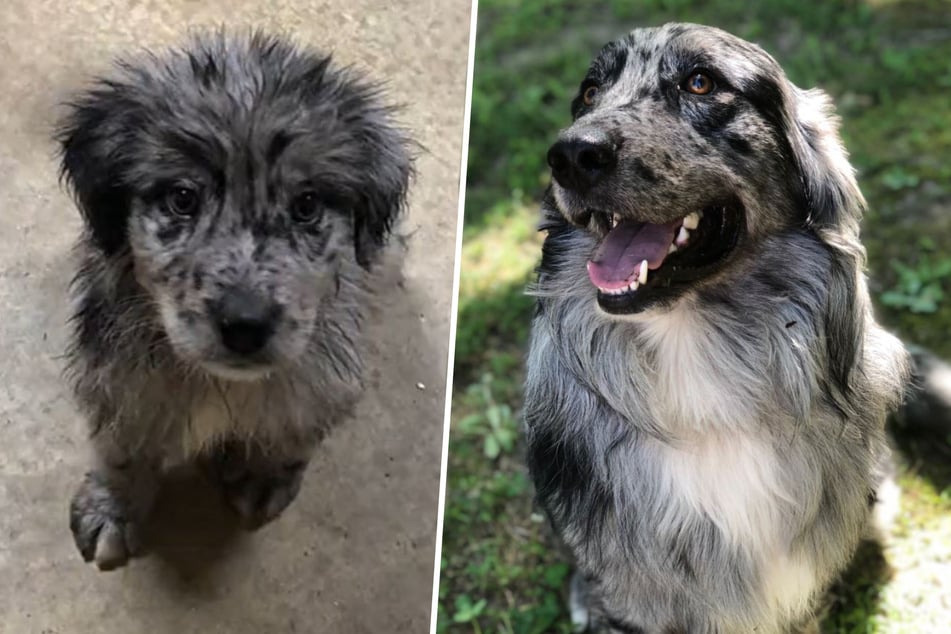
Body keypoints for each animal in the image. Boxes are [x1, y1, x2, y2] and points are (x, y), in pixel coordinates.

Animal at [56, 30, 412, 568]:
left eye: (307, 205)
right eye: (182, 198)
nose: (245, 325)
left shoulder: (322, 381)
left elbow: (291, 433)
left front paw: (263, 474)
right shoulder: (121, 381)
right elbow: (121, 450)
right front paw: (112, 508)